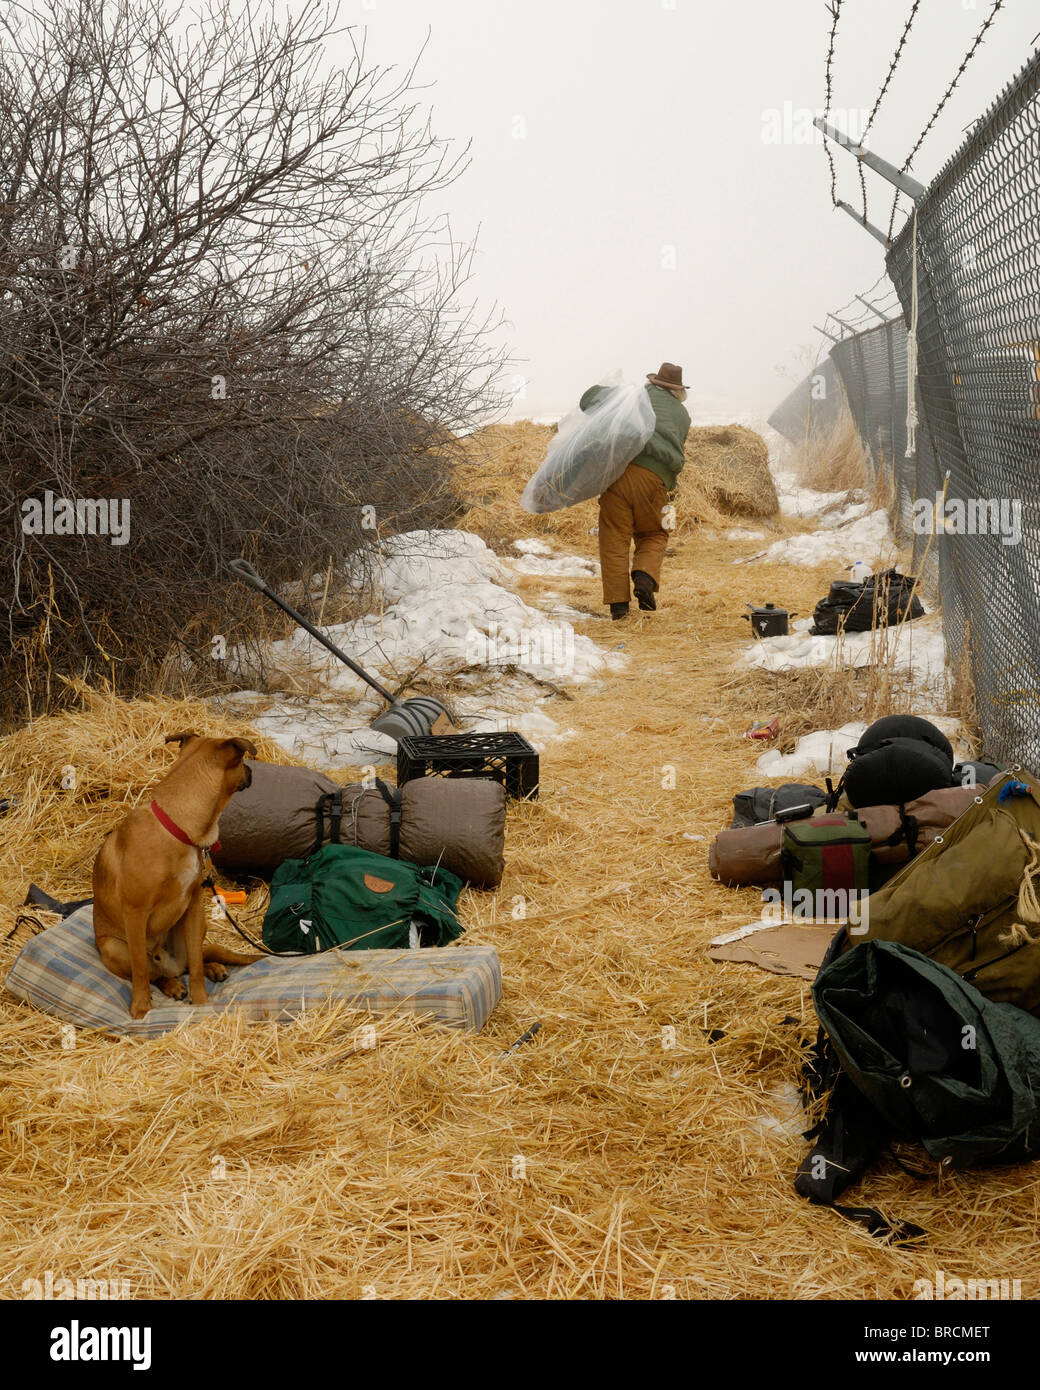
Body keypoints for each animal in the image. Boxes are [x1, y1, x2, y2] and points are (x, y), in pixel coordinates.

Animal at [93, 733, 264, 1017]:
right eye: (242, 762)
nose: (252, 771)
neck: (178, 827)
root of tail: (169, 963)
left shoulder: (193, 906)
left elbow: (195, 963)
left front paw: (201, 1002)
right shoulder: (135, 913)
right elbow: (141, 970)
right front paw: (141, 1008)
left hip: (197, 925)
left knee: (193, 960)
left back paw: (210, 968)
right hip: (114, 948)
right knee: (155, 973)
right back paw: (171, 984)